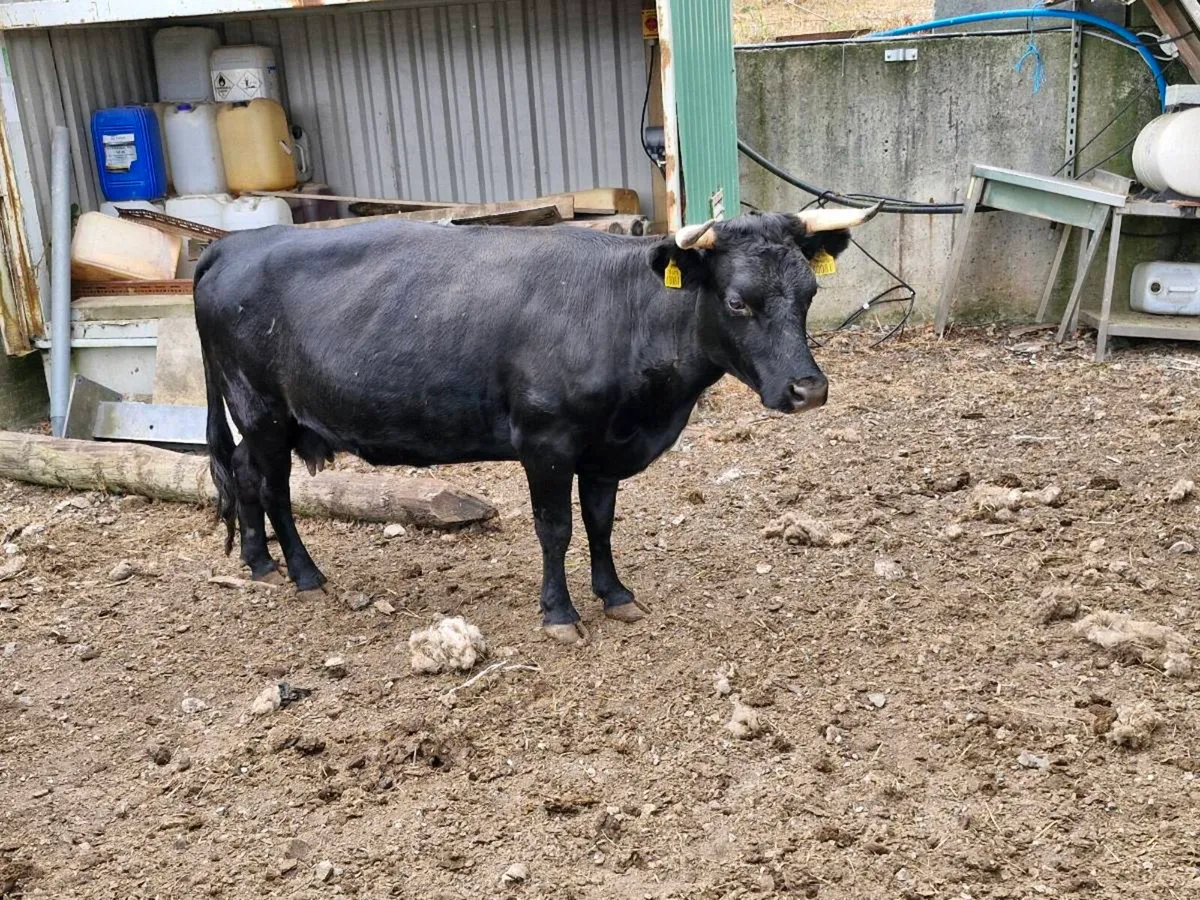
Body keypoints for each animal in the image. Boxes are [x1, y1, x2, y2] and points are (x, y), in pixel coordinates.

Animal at [194, 205, 878, 645]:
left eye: (810, 292)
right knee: (274, 488)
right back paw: (305, 575)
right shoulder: (545, 442)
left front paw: (615, 595)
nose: (808, 389)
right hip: (261, 408)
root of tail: (235, 243)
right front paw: (560, 615)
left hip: (262, 416)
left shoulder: (606, 447)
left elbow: (600, 523)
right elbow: (556, 529)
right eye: (737, 301)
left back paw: (259, 563)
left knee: (246, 476)